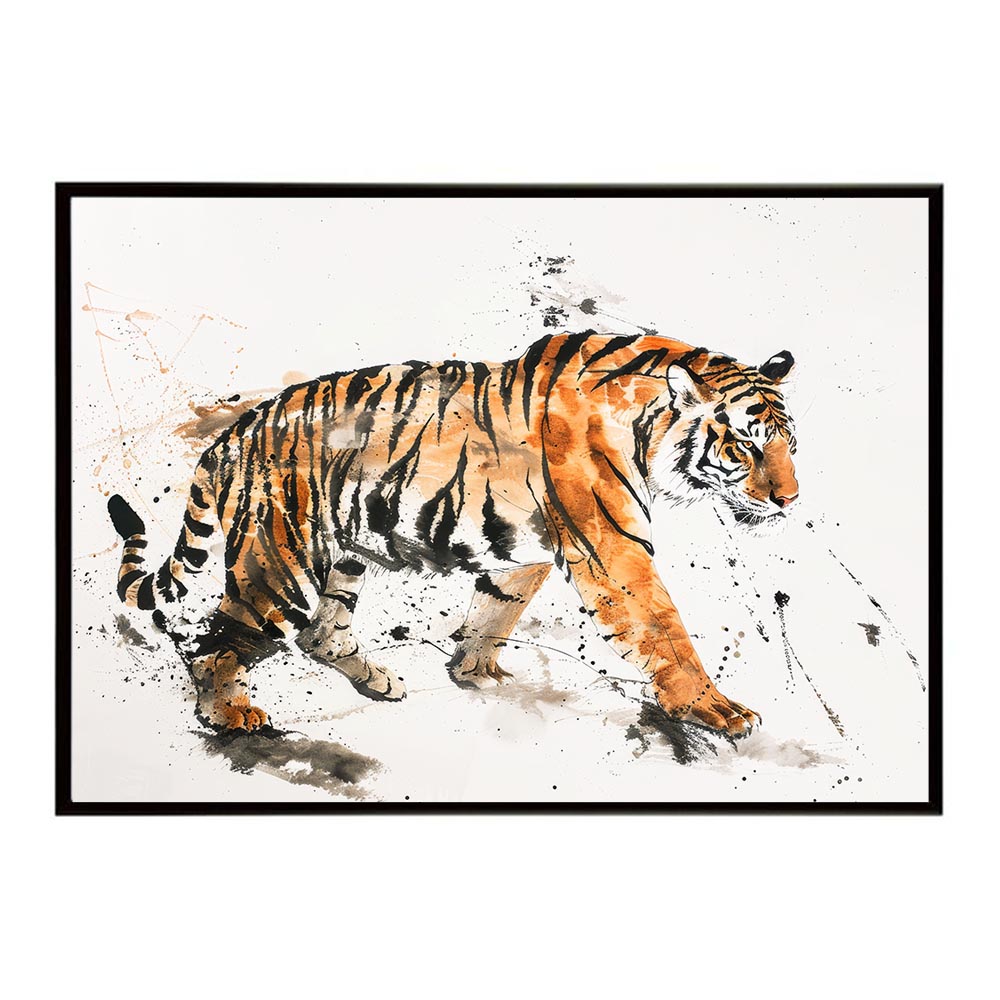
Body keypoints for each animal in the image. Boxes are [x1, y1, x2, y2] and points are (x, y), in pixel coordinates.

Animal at [108, 331, 799, 736]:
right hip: (282, 564)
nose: (790, 500)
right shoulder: (613, 548)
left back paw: (379, 682)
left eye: (788, 443)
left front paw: (473, 670)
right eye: (746, 444)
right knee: (216, 644)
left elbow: (498, 607)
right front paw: (715, 710)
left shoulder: (528, 546)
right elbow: (664, 629)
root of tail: (234, 435)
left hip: (344, 554)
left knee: (322, 634)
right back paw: (231, 715)